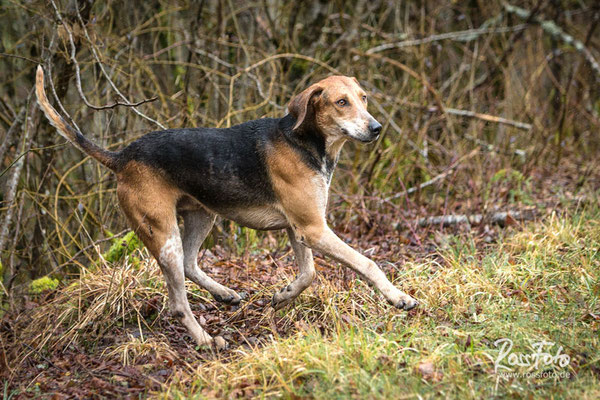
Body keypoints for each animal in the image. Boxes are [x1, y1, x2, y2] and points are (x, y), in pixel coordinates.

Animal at [36, 65, 418, 346]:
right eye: (341, 102)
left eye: (363, 98)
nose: (376, 128)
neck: (306, 142)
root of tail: (122, 157)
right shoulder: (313, 229)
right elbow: (368, 264)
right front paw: (398, 297)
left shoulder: (300, 229)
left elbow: (307, 275)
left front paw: (282, 296)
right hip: (163, 233)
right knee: (177, 303)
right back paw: (206, 340)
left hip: (201, 215)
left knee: (190, 264)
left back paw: (224, 295)